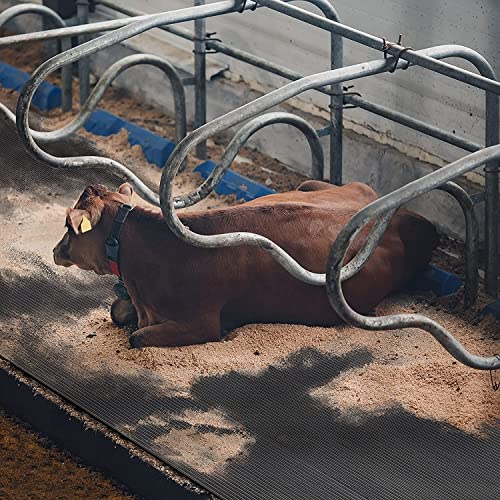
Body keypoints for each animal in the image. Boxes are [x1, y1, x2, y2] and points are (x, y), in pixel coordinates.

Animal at [52, 180, 440, 348]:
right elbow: (118, 311)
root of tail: (402, 213)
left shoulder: (201, 322)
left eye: (69, 226)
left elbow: (136, 337)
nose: (56, 250)